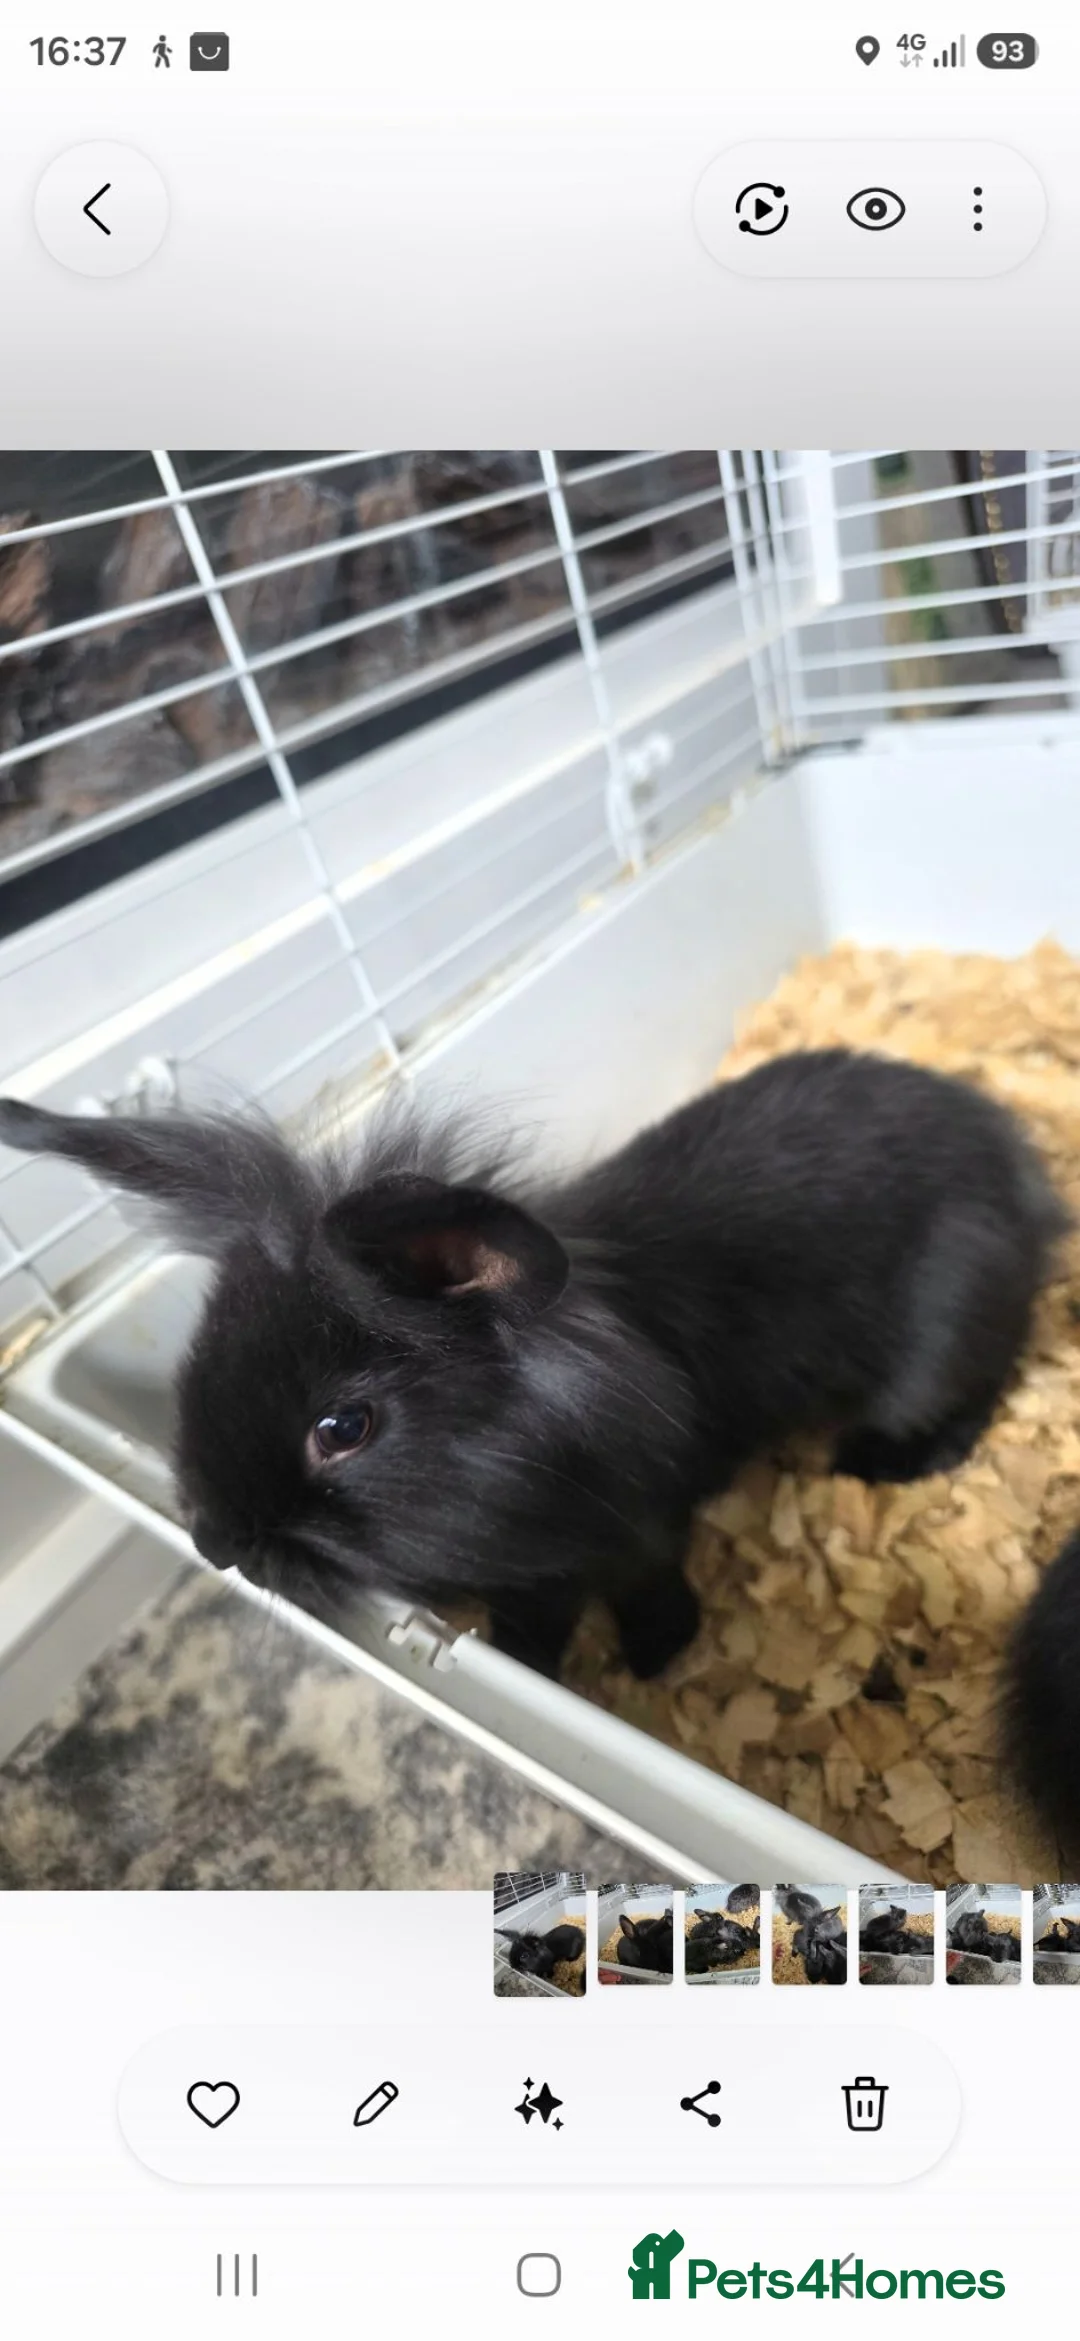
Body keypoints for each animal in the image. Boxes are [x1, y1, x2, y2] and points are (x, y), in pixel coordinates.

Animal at [0, 1046, 1065, 1681]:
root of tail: (1021, 1175)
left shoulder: (635, 1531)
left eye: (343, 1428)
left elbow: (638, 1590)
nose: (215, 1543)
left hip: (941, 1337)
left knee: (973, 1389)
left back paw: (878, 1463)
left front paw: (647, 1660)